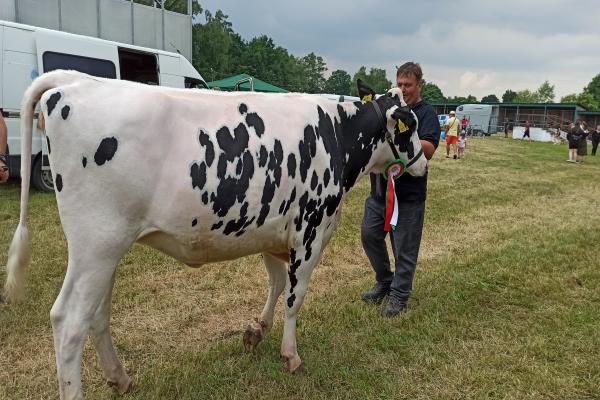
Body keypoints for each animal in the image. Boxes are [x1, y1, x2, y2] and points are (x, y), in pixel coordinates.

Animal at [4, 70, 426, 398]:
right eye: (412, 128)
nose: (423, 162)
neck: (337, 134)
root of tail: (75, 82)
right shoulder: (311, 229)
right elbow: (295, 295)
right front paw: (290, 354)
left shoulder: (273, 228)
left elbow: (276, 283)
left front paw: (257, 330)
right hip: (96, 244)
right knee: (69, 322)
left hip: (105, 251)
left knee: (97, 314)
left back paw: (120, 378)